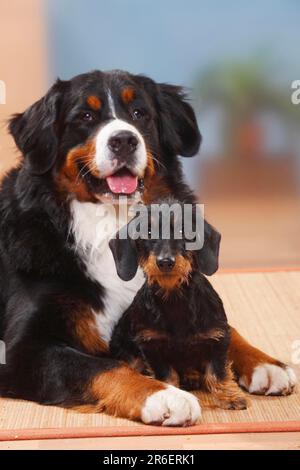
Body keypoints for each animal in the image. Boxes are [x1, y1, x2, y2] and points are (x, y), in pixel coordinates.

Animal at [0, 70, 296, 426]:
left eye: (139, 113)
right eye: (85, 116)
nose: (124, 140)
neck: (110, 222)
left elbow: (223, 327)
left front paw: (265, 362)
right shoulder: (22, 350)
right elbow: (101, 367)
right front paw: (162, 394)